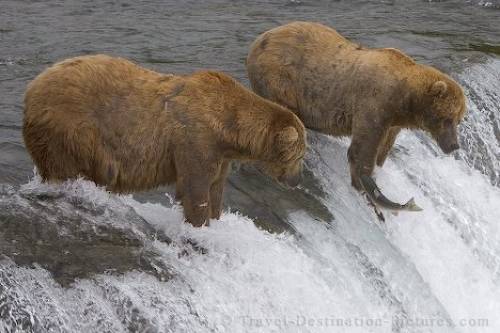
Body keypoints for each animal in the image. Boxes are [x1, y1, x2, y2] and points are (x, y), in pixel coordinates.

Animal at [25, 54, 306, 226]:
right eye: (300, 155)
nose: (296, 180)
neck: (227, 127)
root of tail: (32, 87)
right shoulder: (195, 140)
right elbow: (195, 187)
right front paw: (199, 223)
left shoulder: (220, 155)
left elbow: (216, 187)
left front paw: (216, 218)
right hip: (70, 129)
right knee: (64, 165)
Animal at [248, 20, 466, 210]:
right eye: (447, 118)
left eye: (458, 120)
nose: (454, 145)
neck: (404, 99)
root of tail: (259, 39)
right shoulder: (374, 102)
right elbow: (362, 148)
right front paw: (365, 183)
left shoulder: (393, 121)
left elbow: (382, 149)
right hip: (279, 77)